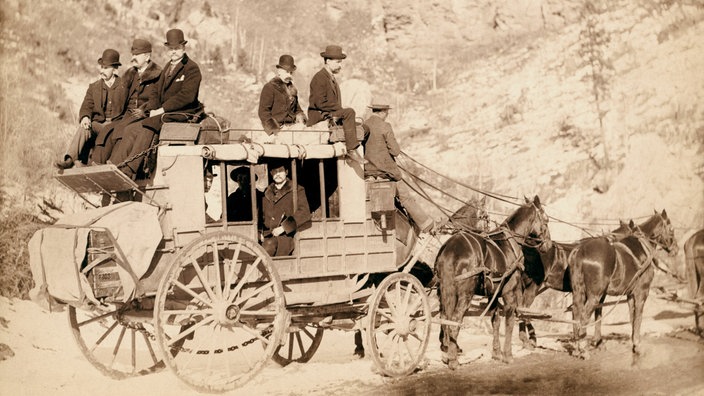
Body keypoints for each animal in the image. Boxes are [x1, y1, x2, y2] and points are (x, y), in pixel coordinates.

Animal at [434, 195, 552, 368]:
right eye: (546, 219)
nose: (548, 245)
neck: (509, 244)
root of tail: (451, 249)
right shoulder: (509, 292)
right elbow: (509, 321)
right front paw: (507, 355)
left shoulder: (493, 294)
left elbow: (495, 321)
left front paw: (496, 352)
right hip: (465, 294)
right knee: (455, 321)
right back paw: (453, 360)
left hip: (443, 292)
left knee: (445, 319)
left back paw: (447, 353)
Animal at [568, 210, 676, 358]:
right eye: (671, 228)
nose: (675, 249)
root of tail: (580, 251)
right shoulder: (641, 293)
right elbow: (638, 317)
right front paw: (637, 345)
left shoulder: (629, 294)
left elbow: (631, 317)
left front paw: (632, 344)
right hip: (594, 295)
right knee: (584, 317)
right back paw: (583, 349)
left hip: (579, 292)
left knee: (576, 313)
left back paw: (577, 347)